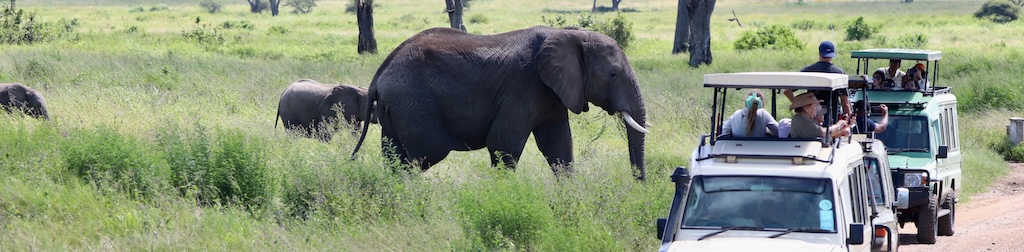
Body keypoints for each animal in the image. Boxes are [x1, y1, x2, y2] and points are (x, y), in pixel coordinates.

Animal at [352, 26, 651, 181]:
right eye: (613, 74)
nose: (639, 186)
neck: (567, 33)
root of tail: (380, 73)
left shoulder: (553, 94)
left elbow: (559, 146)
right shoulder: (522, 87)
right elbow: (503, 145)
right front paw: (503, 195)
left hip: (396, 108)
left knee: (394, 155)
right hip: (413, 104)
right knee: (423, 154)